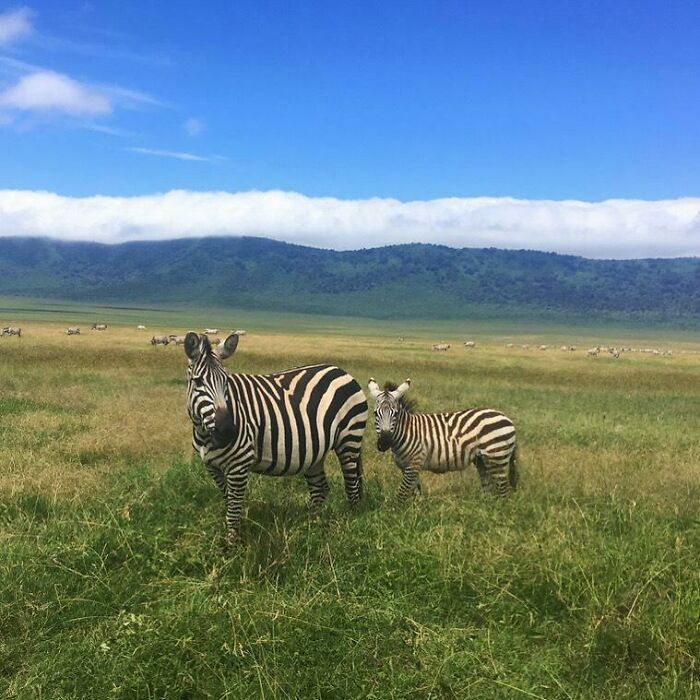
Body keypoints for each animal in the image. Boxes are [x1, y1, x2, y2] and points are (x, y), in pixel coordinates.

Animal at [184, 332, 367, 544]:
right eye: (198, 382)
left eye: (226, 382)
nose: (228, 431)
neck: (205, 433)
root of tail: (342, 371)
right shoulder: (212, 466)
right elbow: (229, 503)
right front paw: (237, 537)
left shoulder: (239, 464)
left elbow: (233, 511)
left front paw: (232, 547)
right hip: (316, 450)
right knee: (320, 488)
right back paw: (312, 529)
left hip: (349, 439)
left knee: (352, 487)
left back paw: (349, 528)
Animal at [368, 378, 517, 500]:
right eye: (375, 413)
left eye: (396, 414)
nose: (384, 443)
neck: (407, 432)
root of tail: (506, 418)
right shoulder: (406, 467)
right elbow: (415, 493)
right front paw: (415, 512)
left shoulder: (413, 464)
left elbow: (401, 495)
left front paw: (395, 513)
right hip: (482, 460)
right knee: (489, 489)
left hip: (497, 457)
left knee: (503, 491)